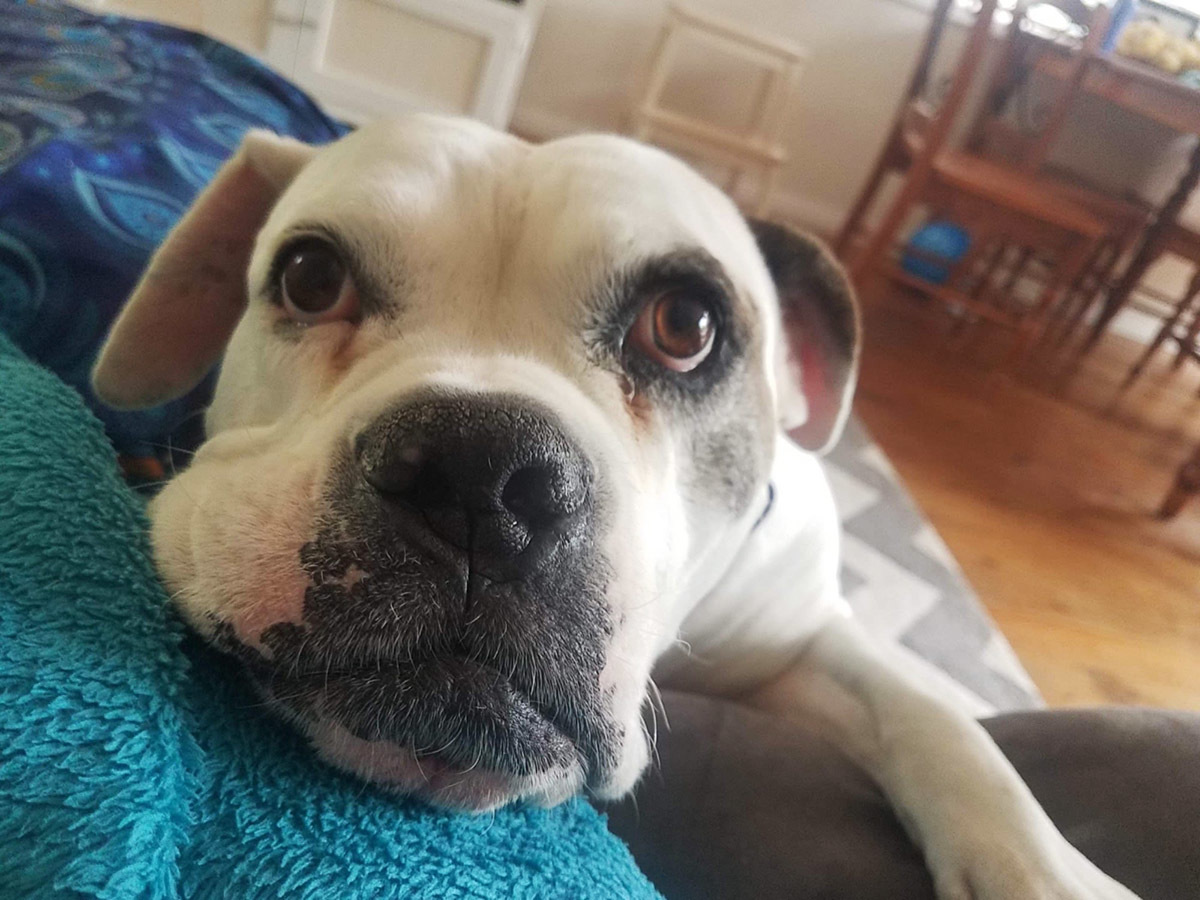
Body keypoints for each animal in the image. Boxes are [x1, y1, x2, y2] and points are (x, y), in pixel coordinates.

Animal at [91, 116, 1132, 897]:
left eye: (686, 326)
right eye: (310, 276)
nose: (480, 471)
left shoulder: (803, 640)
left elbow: (936, 717)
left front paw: (1049, 871)